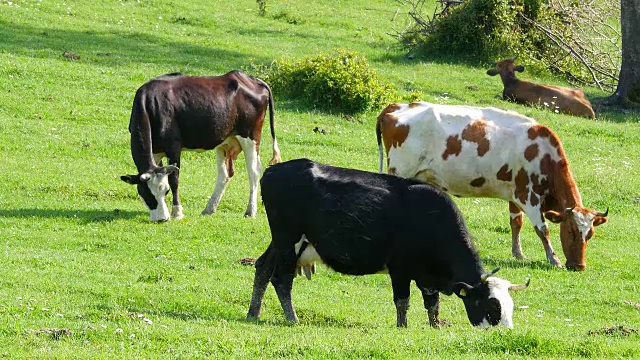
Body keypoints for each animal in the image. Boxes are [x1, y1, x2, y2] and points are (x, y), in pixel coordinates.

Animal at [120, 70, 280, 222]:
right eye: (147, 194)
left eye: (165, 191)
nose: (161, 219)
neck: (151, 105)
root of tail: (250, 79)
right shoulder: (156, 151)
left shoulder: (173, 146)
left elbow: (174, 179)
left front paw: (177, 212)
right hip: (225, 141)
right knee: (224, 174)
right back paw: (209, 208)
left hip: (250, 137)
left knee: (253, 171)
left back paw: (250, 211)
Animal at [248, 159, 528, 328]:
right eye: (491, 306)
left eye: (510, 307)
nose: (504, 331)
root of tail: (274, 170)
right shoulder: (400, 268)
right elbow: (403, 300)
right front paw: (402, 327)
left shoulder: (426, 277)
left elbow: (432, 303)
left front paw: (435, 326)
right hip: (288, 240)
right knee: (282, 280)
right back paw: (292, 318)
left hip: (281, 242)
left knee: (262, 268)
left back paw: (253, 313)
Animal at [378, 101, 608, 270]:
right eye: (570, 231)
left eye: (590, 235)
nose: (579, 266)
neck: (544, 156)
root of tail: (396, 106)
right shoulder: (529, 195)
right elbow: (543, 230)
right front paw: (554, 259)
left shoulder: (514, 194)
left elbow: (516, 223)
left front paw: (518, 253)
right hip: (400, 171)